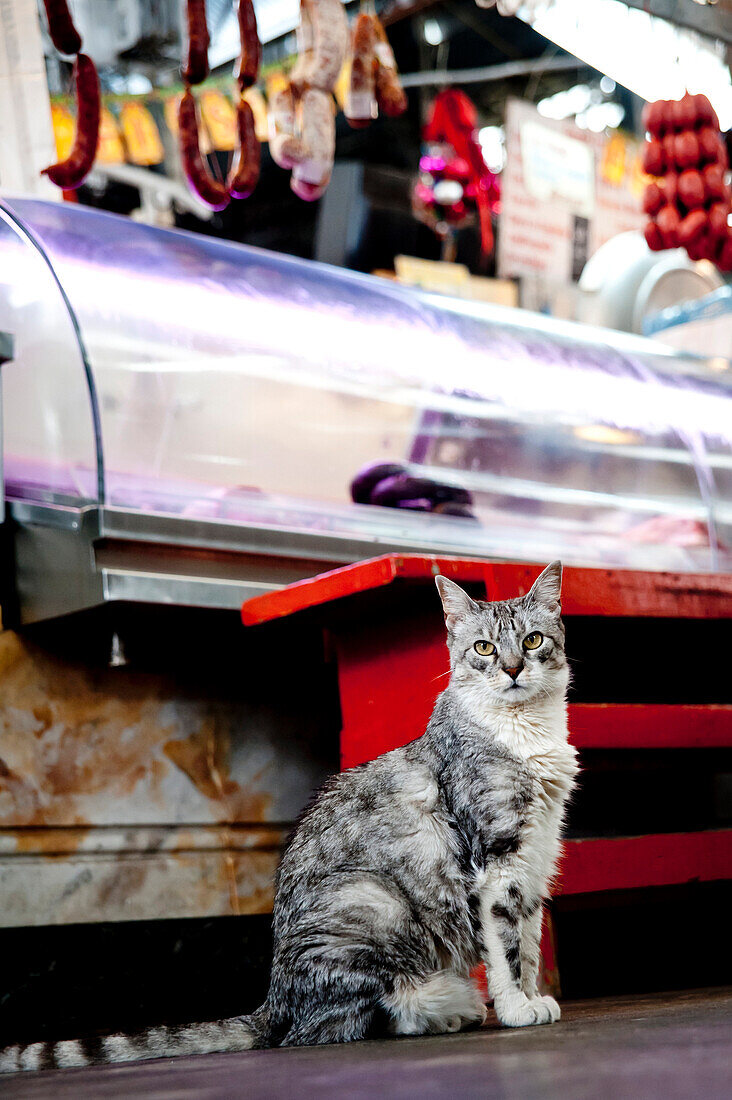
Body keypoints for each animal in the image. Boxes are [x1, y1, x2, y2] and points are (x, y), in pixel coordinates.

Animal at [1, 563, 576, 1069]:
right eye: (483, 648)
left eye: (531, 641)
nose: (512, 669)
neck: (525, 734)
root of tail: (274, 996)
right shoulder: (496, 859)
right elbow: (505, 945)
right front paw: (517, 1007)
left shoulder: (533, 858)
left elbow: (527, 940)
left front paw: (533, 996)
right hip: (372, 900)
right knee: (342, 1022)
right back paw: (446, 1008)